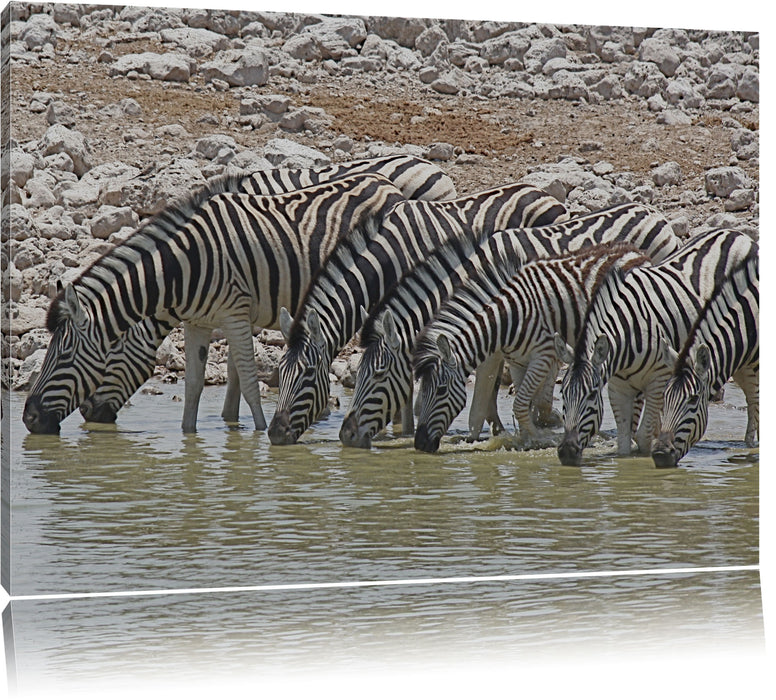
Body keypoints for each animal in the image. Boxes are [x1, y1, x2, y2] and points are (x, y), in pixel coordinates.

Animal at [264, 180, 568, 442]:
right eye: (281, 372)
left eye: (307, 373)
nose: (275, 434)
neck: (390, 258)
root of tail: (541, 192)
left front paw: (407, 429)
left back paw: (541, 416)